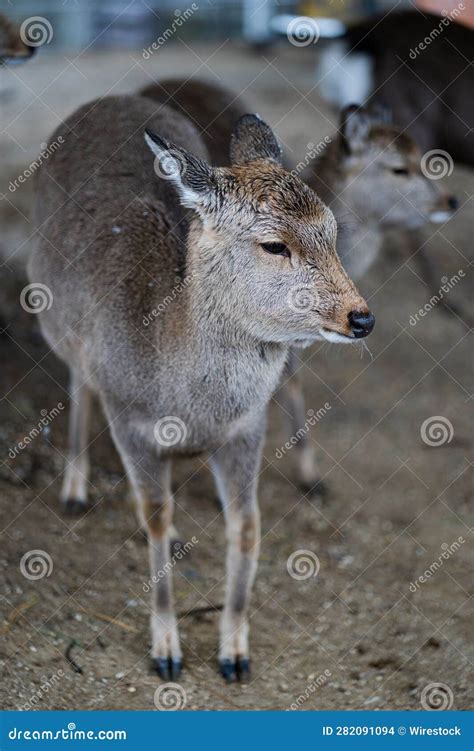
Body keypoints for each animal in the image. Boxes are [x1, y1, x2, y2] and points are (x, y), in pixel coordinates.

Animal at [28, 92, 374, 680]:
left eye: (331, 231)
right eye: (274, 245)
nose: (361, 317)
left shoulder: (247, 428)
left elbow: (248, 525)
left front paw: (234, 652)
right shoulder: (130, 420)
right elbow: (156, 518)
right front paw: (166, 651)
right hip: (60, 323)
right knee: (79, 380)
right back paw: (75, 488)